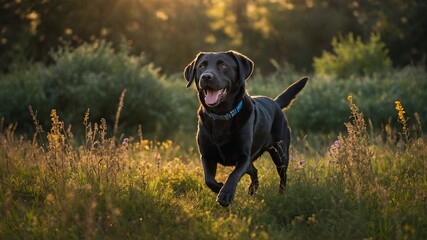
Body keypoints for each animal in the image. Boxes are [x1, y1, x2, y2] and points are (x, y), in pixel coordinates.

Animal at [184, 50, 308, 206]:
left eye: (223, 65)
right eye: (201, 66)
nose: (206, 76)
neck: (221, 115)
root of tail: (275, 102)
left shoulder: (244, 156)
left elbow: (234, 174)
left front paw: (225, 194)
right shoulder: (207, 155)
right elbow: (208, 179)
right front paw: (219, 187)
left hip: (280, 153)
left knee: (283, 176)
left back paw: (281, 196)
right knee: (254, 171)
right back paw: (252, 190)